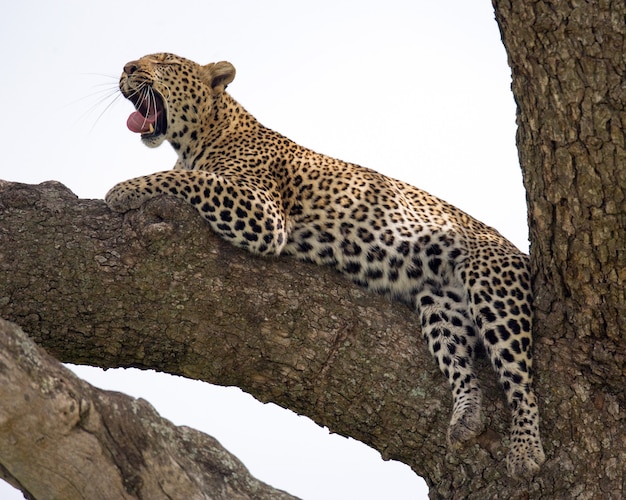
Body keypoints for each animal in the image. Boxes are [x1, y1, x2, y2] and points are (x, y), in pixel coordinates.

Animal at [105, 52, 544, 478]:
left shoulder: (262, 212)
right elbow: (187, 177)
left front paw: (124, 189)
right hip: (440, 302)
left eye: (165, 63)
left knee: (520, 379)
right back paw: (467, 416)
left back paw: (526, 451)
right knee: (463, 363)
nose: (127, 68)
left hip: (492, 283)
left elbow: (190, 180)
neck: (201, 138)